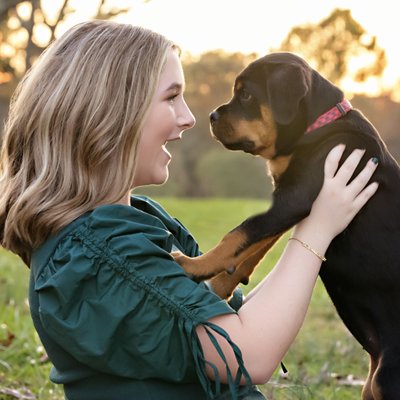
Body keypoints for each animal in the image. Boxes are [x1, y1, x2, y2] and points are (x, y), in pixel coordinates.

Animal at [173, 51, 400, 398]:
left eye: (246, 94)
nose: (211, 115)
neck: (317, 128)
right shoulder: (288, 202)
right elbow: (253, 246)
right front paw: (221, 285)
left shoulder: (294, 198)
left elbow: (238, 234)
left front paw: (193, 266)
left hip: (388, 377)